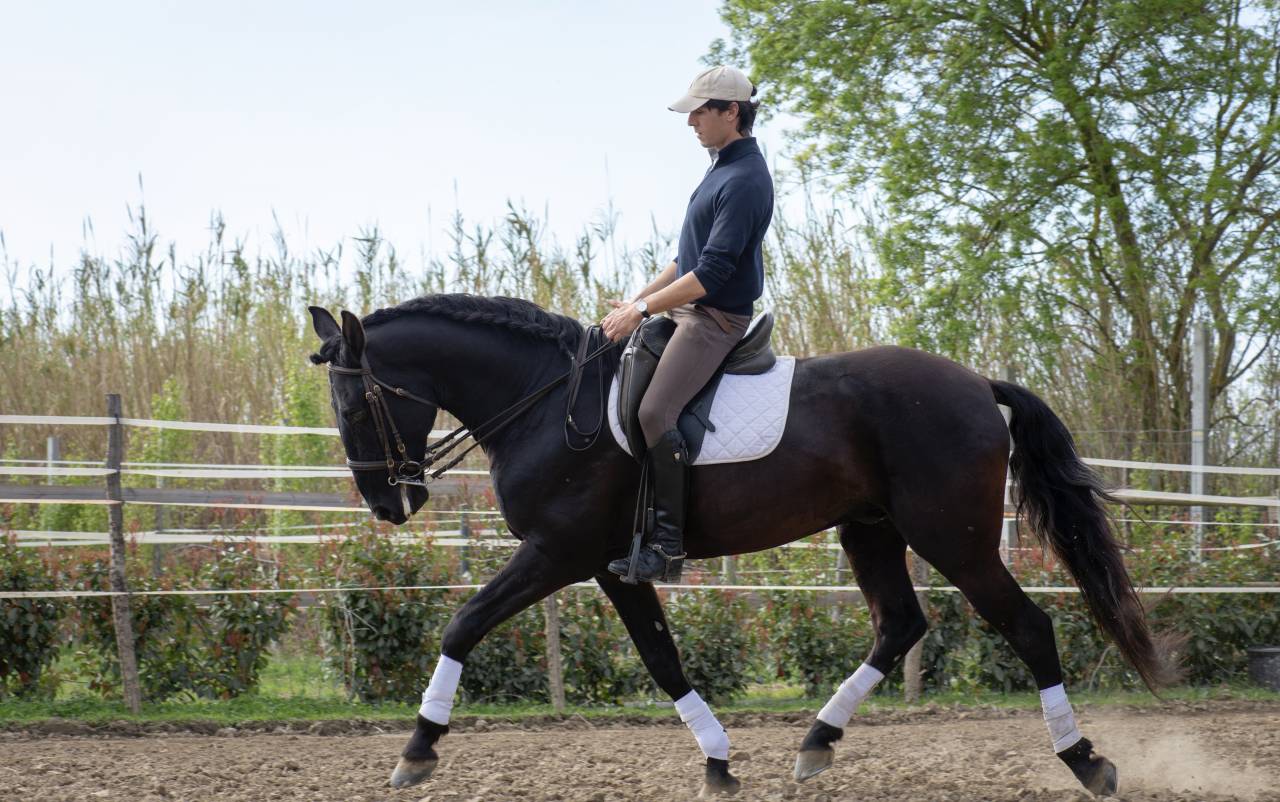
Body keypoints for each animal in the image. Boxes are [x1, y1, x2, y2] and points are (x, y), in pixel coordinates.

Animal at [307, 294, 1176, 798]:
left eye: (352, 405)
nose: (388, 504)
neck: (550, 403)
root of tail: (974, 383)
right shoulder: (610, 567)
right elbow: (662, 658)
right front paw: (719, 761)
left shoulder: (557, 553)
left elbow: (463, 624)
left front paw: (417, 750)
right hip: (871, 530)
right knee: (899, 625)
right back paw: (817, 743)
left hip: (953, 539)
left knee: (1027, 626)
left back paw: (1087, 761)